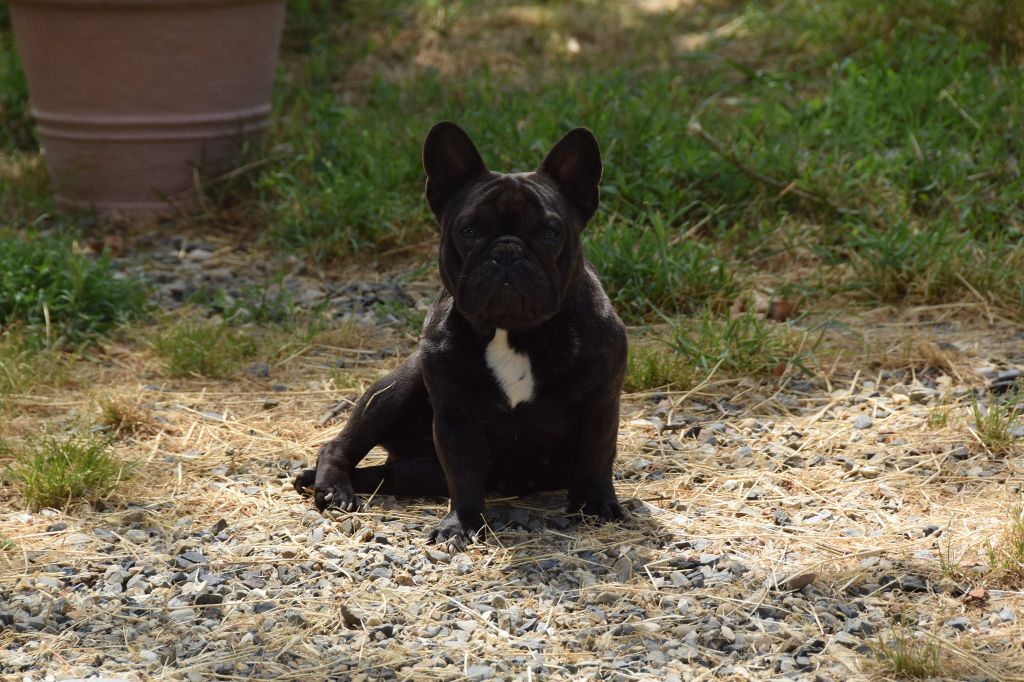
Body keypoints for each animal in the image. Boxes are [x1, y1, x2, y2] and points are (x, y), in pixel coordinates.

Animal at [296, 123, 626, 548]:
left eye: (550, 232)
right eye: (469, 231)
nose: (507, 249)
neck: (515, 332)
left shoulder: (600, 403)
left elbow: (596, 457)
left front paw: (598, 506)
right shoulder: (456, 417)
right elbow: (464, 475)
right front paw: (461, 525)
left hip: (416, 470)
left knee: (383, 474)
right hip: (397, 388)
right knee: (341, 445)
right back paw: (334, 488)